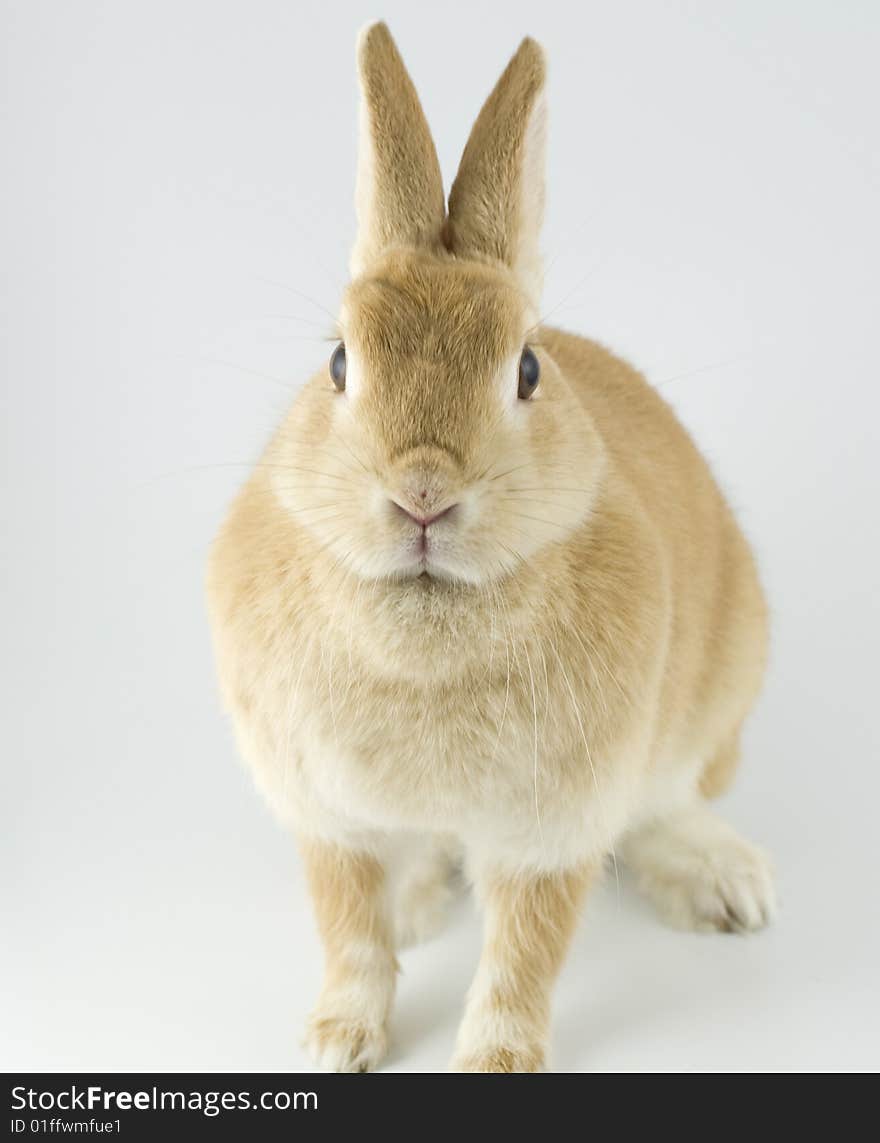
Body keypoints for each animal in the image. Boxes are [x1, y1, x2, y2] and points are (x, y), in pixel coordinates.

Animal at [208, 20, 777, 1069]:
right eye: (338, 361)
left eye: (528, 370)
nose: (423, 493)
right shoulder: (329, 817)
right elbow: (349, 930)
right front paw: (338, 1042)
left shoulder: (553, 825)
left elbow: (525, 950)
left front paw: (494, 1061)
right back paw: (420, 901)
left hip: (717, 697)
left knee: (671, 801)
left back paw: (728, 885)